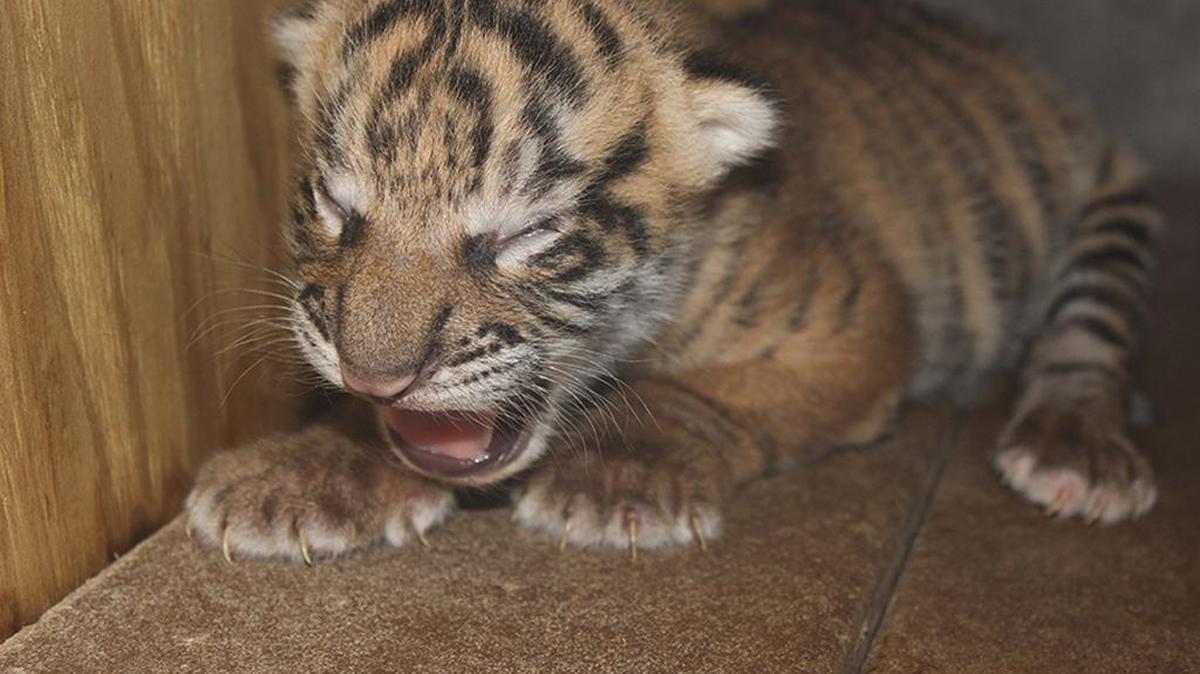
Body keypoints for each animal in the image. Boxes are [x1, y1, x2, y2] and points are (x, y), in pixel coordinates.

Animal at [186, 0, 1164, 563]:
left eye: (528, 233)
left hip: (1112, 207)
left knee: (1090, 339)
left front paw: (618, 479)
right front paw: (308, 471)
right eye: (335, 203)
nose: (377, 375)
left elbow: (692, 395)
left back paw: (1073, 451)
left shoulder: (857, 325)